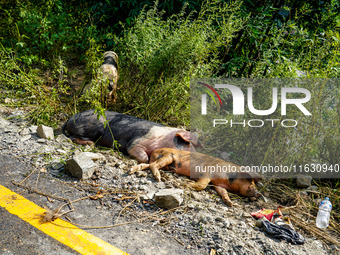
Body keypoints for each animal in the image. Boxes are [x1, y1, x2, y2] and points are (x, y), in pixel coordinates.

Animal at [131, 148, 262, 206]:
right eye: (251, 182)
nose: (258, 193)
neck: (228, 179)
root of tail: (154, 152)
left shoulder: (218, 185)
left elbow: (223, 192)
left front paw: (230, 203)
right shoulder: (207, 173)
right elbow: (202, 185)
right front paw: (184, 184)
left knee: (148, 165)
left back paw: (132, 170)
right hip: (169, 156)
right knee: (153, 165)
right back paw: (159, 178)